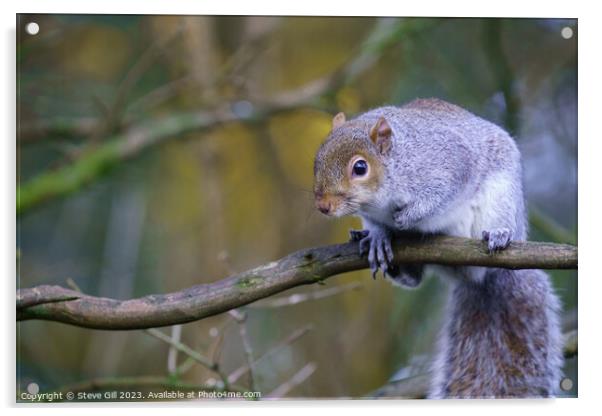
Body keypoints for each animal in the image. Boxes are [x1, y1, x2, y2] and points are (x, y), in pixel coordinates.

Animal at [312, 98, 560, 400]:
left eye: (360, 168)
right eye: (317, 160)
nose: (323, 206)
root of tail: (478, 278)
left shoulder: (447, 163)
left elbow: (443, 192)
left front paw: (409, 216)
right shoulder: (370, 213)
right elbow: (377, 225)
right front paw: (380, 236)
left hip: (502, 197)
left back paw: (500, 234)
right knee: (416, 279)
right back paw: (400, 268)